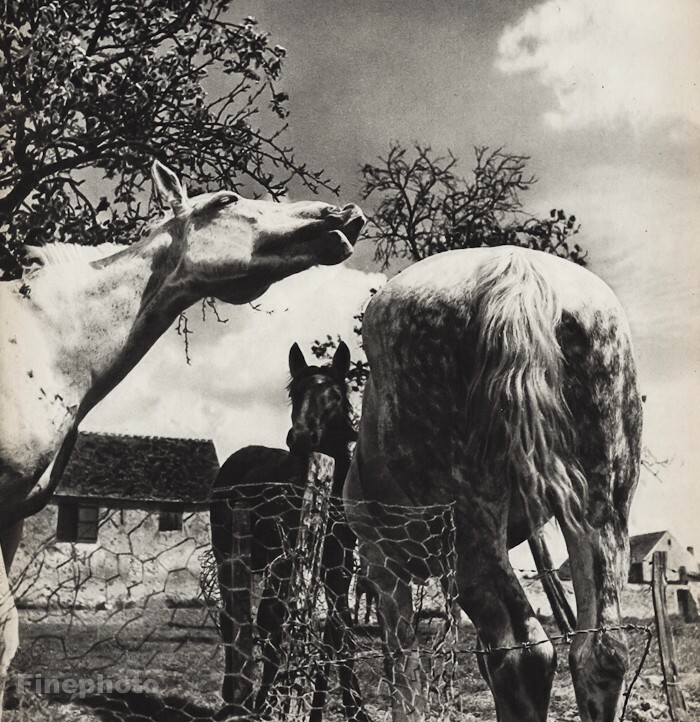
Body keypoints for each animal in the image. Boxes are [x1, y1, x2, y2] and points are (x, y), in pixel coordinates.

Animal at [210, 342, 370, 722]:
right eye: (294, 393)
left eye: (336, 395)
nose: (300, 438)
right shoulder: (288, 562)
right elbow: (277, 624)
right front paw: (270, 703)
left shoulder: (338, 568)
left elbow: (339, 630)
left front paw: (351, 707)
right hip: (231, 557)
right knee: (236, 618)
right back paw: (237, 696)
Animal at [344, 246, 643, 722]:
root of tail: (516, 269)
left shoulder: (383, 568)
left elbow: (403, 671)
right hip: (602, 504)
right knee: (601, 651)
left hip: (466, 520)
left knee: (524, 654)